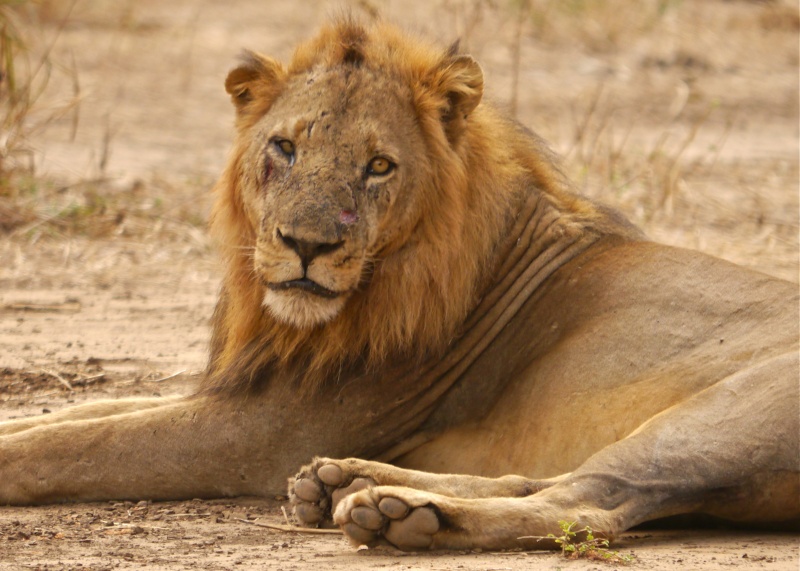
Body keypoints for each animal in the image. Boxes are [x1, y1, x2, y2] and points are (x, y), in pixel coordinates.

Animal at [1, 19, 800, 556]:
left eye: (378, 166)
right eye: (283, 147)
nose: (307, 245)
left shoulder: (257, 432)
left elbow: (84, 443)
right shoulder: (246, 389)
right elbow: (82, 413)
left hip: (712, 420)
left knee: (586, 501)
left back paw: (403, 516)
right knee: (540, 479)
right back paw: (341, 484)